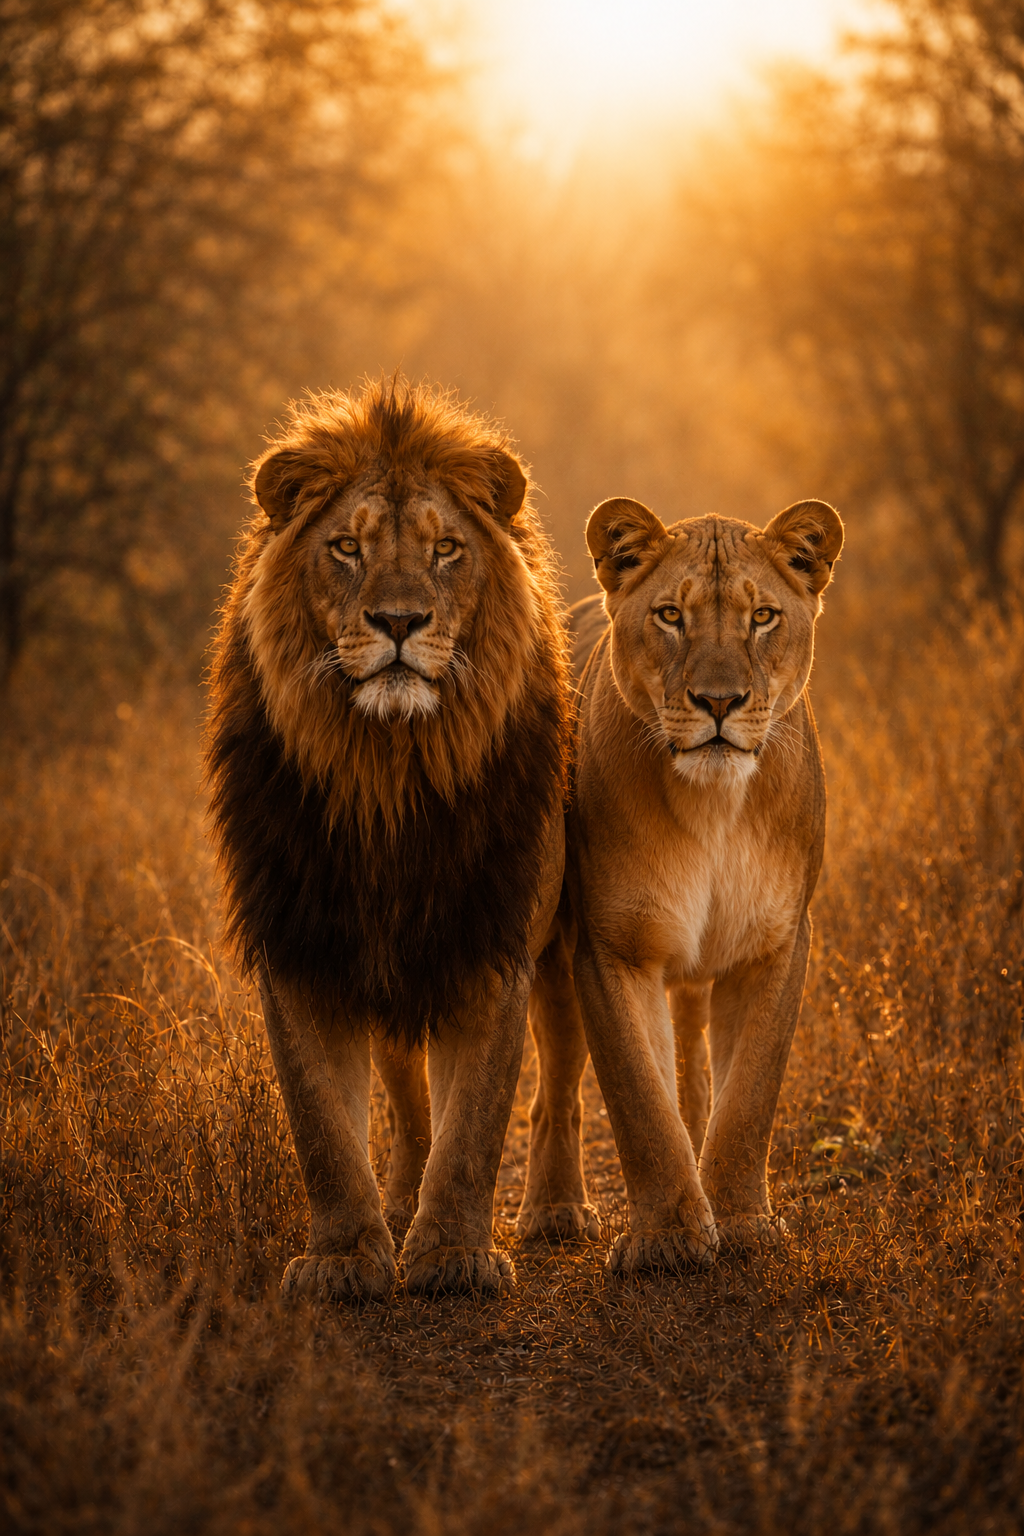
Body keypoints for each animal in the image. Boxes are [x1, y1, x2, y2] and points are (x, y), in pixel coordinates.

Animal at [206, 379, 570, 1300]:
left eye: (446, 549)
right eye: (345, 547)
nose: (399, 621)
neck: (389, 778)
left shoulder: (491, 942)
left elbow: (476, 1124)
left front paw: (451, 1255)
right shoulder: (300, 944)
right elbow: (324, 1128)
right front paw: (345, 1258)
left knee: (560, 1078)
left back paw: (554, 1210)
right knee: (406, 1102)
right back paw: (400, 1205)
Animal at [516, 496, 843, 1273]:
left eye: (763, 617)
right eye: (670, 615)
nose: (718, 701)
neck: (715, 806)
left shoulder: (775, 946)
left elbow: (747, 1096)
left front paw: (742, 1221)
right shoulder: (613, 948)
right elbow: (639, 1098)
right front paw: (667, 1238)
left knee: (694, 1078)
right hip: (552, 957)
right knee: (557, 1089)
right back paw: (553, 1211)